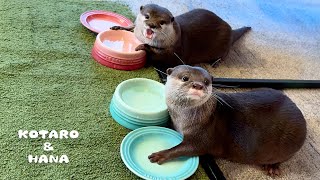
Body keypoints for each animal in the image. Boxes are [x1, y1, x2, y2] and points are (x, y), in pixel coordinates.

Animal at [111, 4, 251, 67]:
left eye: (162, 22)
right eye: (147, 16)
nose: (151, 25)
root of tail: (230, 30)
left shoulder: (175, 50)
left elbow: (163, 57)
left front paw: (143, 47)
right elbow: (131, 29)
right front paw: (119, 27)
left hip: (223, 42)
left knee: (224, 54)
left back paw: (215, 62)